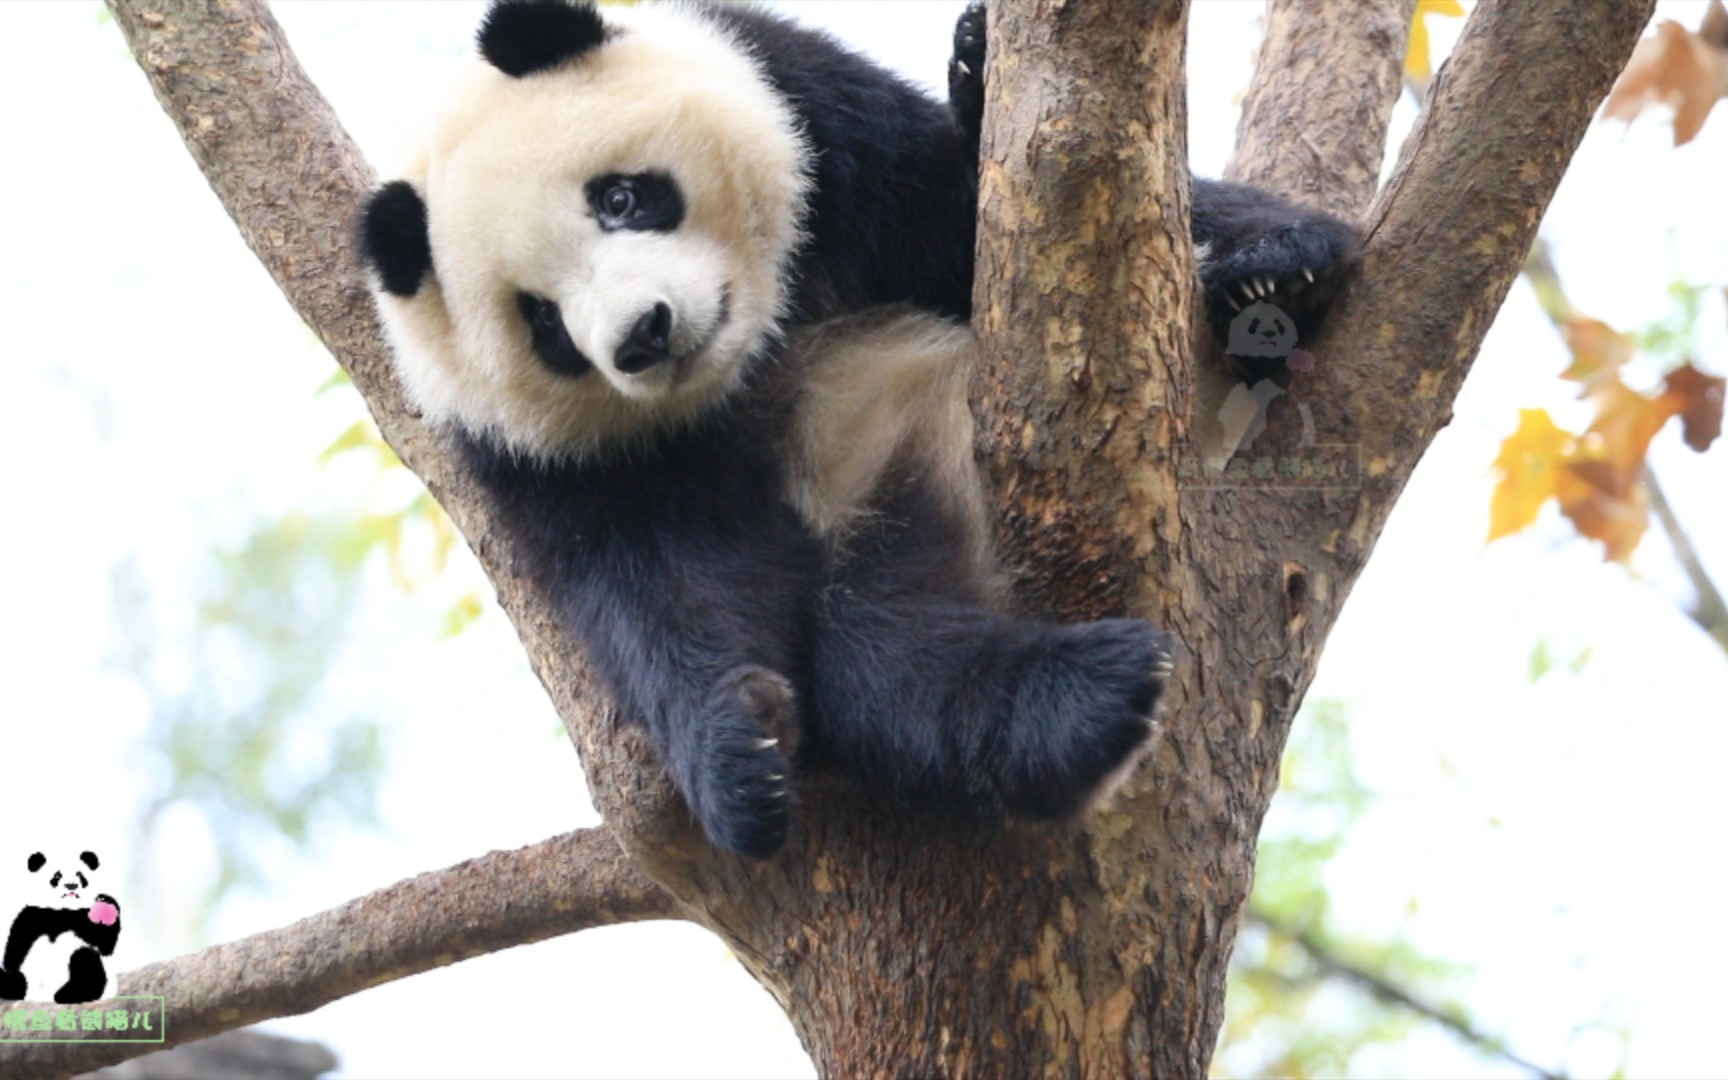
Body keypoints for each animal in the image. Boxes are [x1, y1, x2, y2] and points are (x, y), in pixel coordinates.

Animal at [357, 2, 1361, 860]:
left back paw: (1272, 276)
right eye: (544, 323)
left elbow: (975, 214)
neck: (761, 342)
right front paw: (742, 754)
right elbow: (657, 582)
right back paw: (1086, 703)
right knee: (886, 657)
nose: (644, 334)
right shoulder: (545, 458)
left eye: (622, 199)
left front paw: (979, 69)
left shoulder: (823, 126)